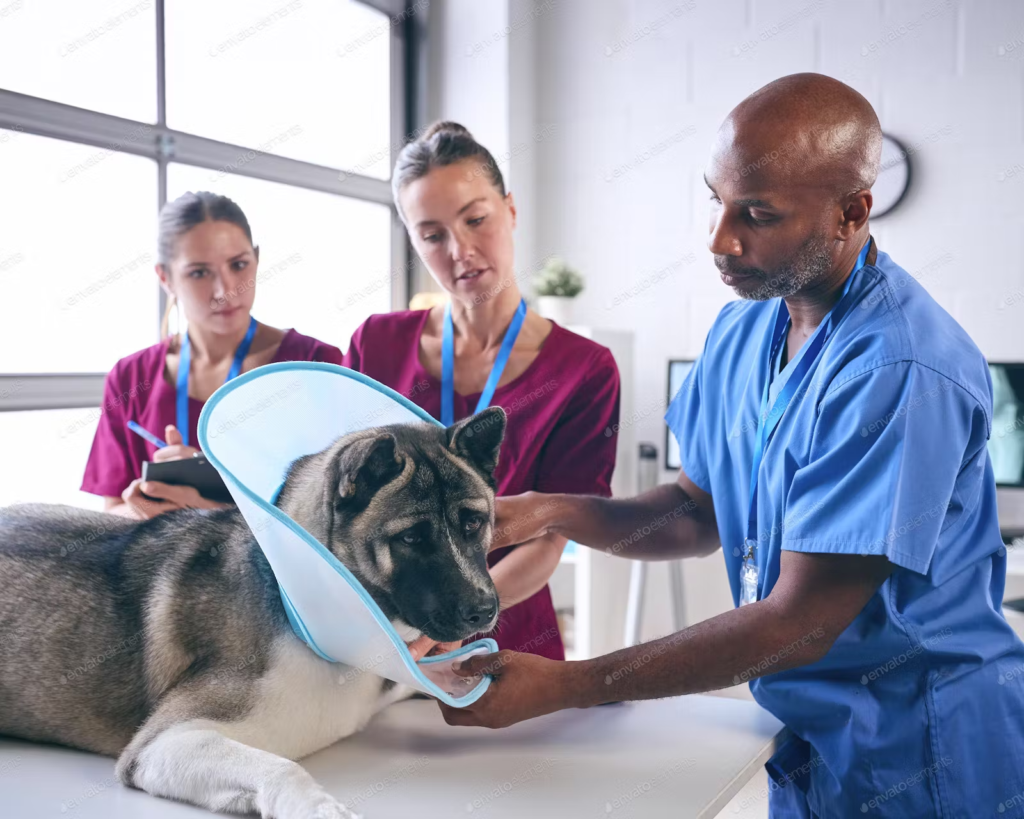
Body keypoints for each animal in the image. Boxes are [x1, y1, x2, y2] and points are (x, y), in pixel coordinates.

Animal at [0, 405, 505, 814]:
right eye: (412, 538)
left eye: (474, 523)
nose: (484, 610)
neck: (297, 612)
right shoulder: (162, 744)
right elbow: (282, 768)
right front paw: (322, 810)